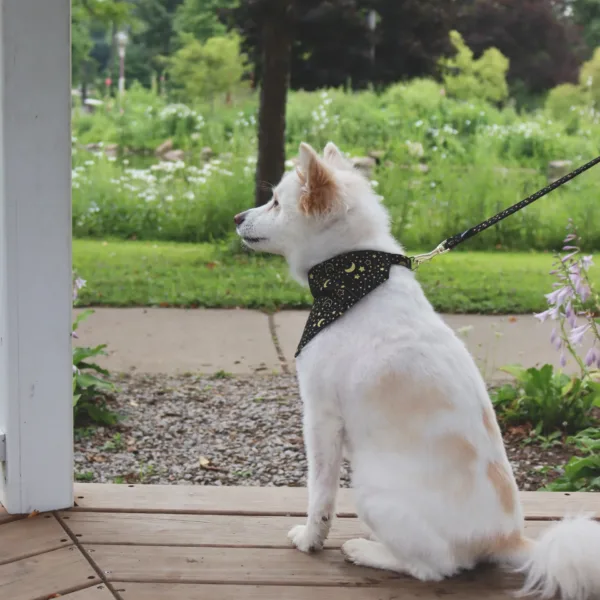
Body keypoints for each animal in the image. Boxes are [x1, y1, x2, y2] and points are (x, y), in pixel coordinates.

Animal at [233, 142, 600, 600]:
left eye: (276, 203)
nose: (236, 217)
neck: (351, 277)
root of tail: (507, 539)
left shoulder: (319, 417)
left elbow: (319, 495)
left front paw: (310, 540)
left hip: (370, 491)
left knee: (434, 569)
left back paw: (364, 549)